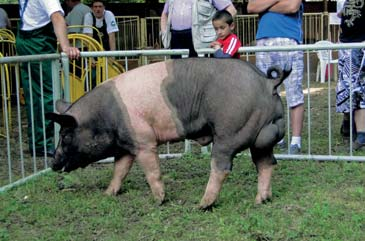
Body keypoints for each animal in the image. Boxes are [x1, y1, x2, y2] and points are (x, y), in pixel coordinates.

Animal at [46, 58, 290, 209]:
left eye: (65, 136)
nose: (53, 163)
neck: (103, 115)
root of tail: (268, 82)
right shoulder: (126, 145)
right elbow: (119, 171)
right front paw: (108, 194)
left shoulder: (144, 141)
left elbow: (152, 171)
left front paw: (159, 201)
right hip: (261, 137)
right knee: (267, 163)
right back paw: (260, 200)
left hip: (229, 133)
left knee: (222, 167)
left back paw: (202, 205)